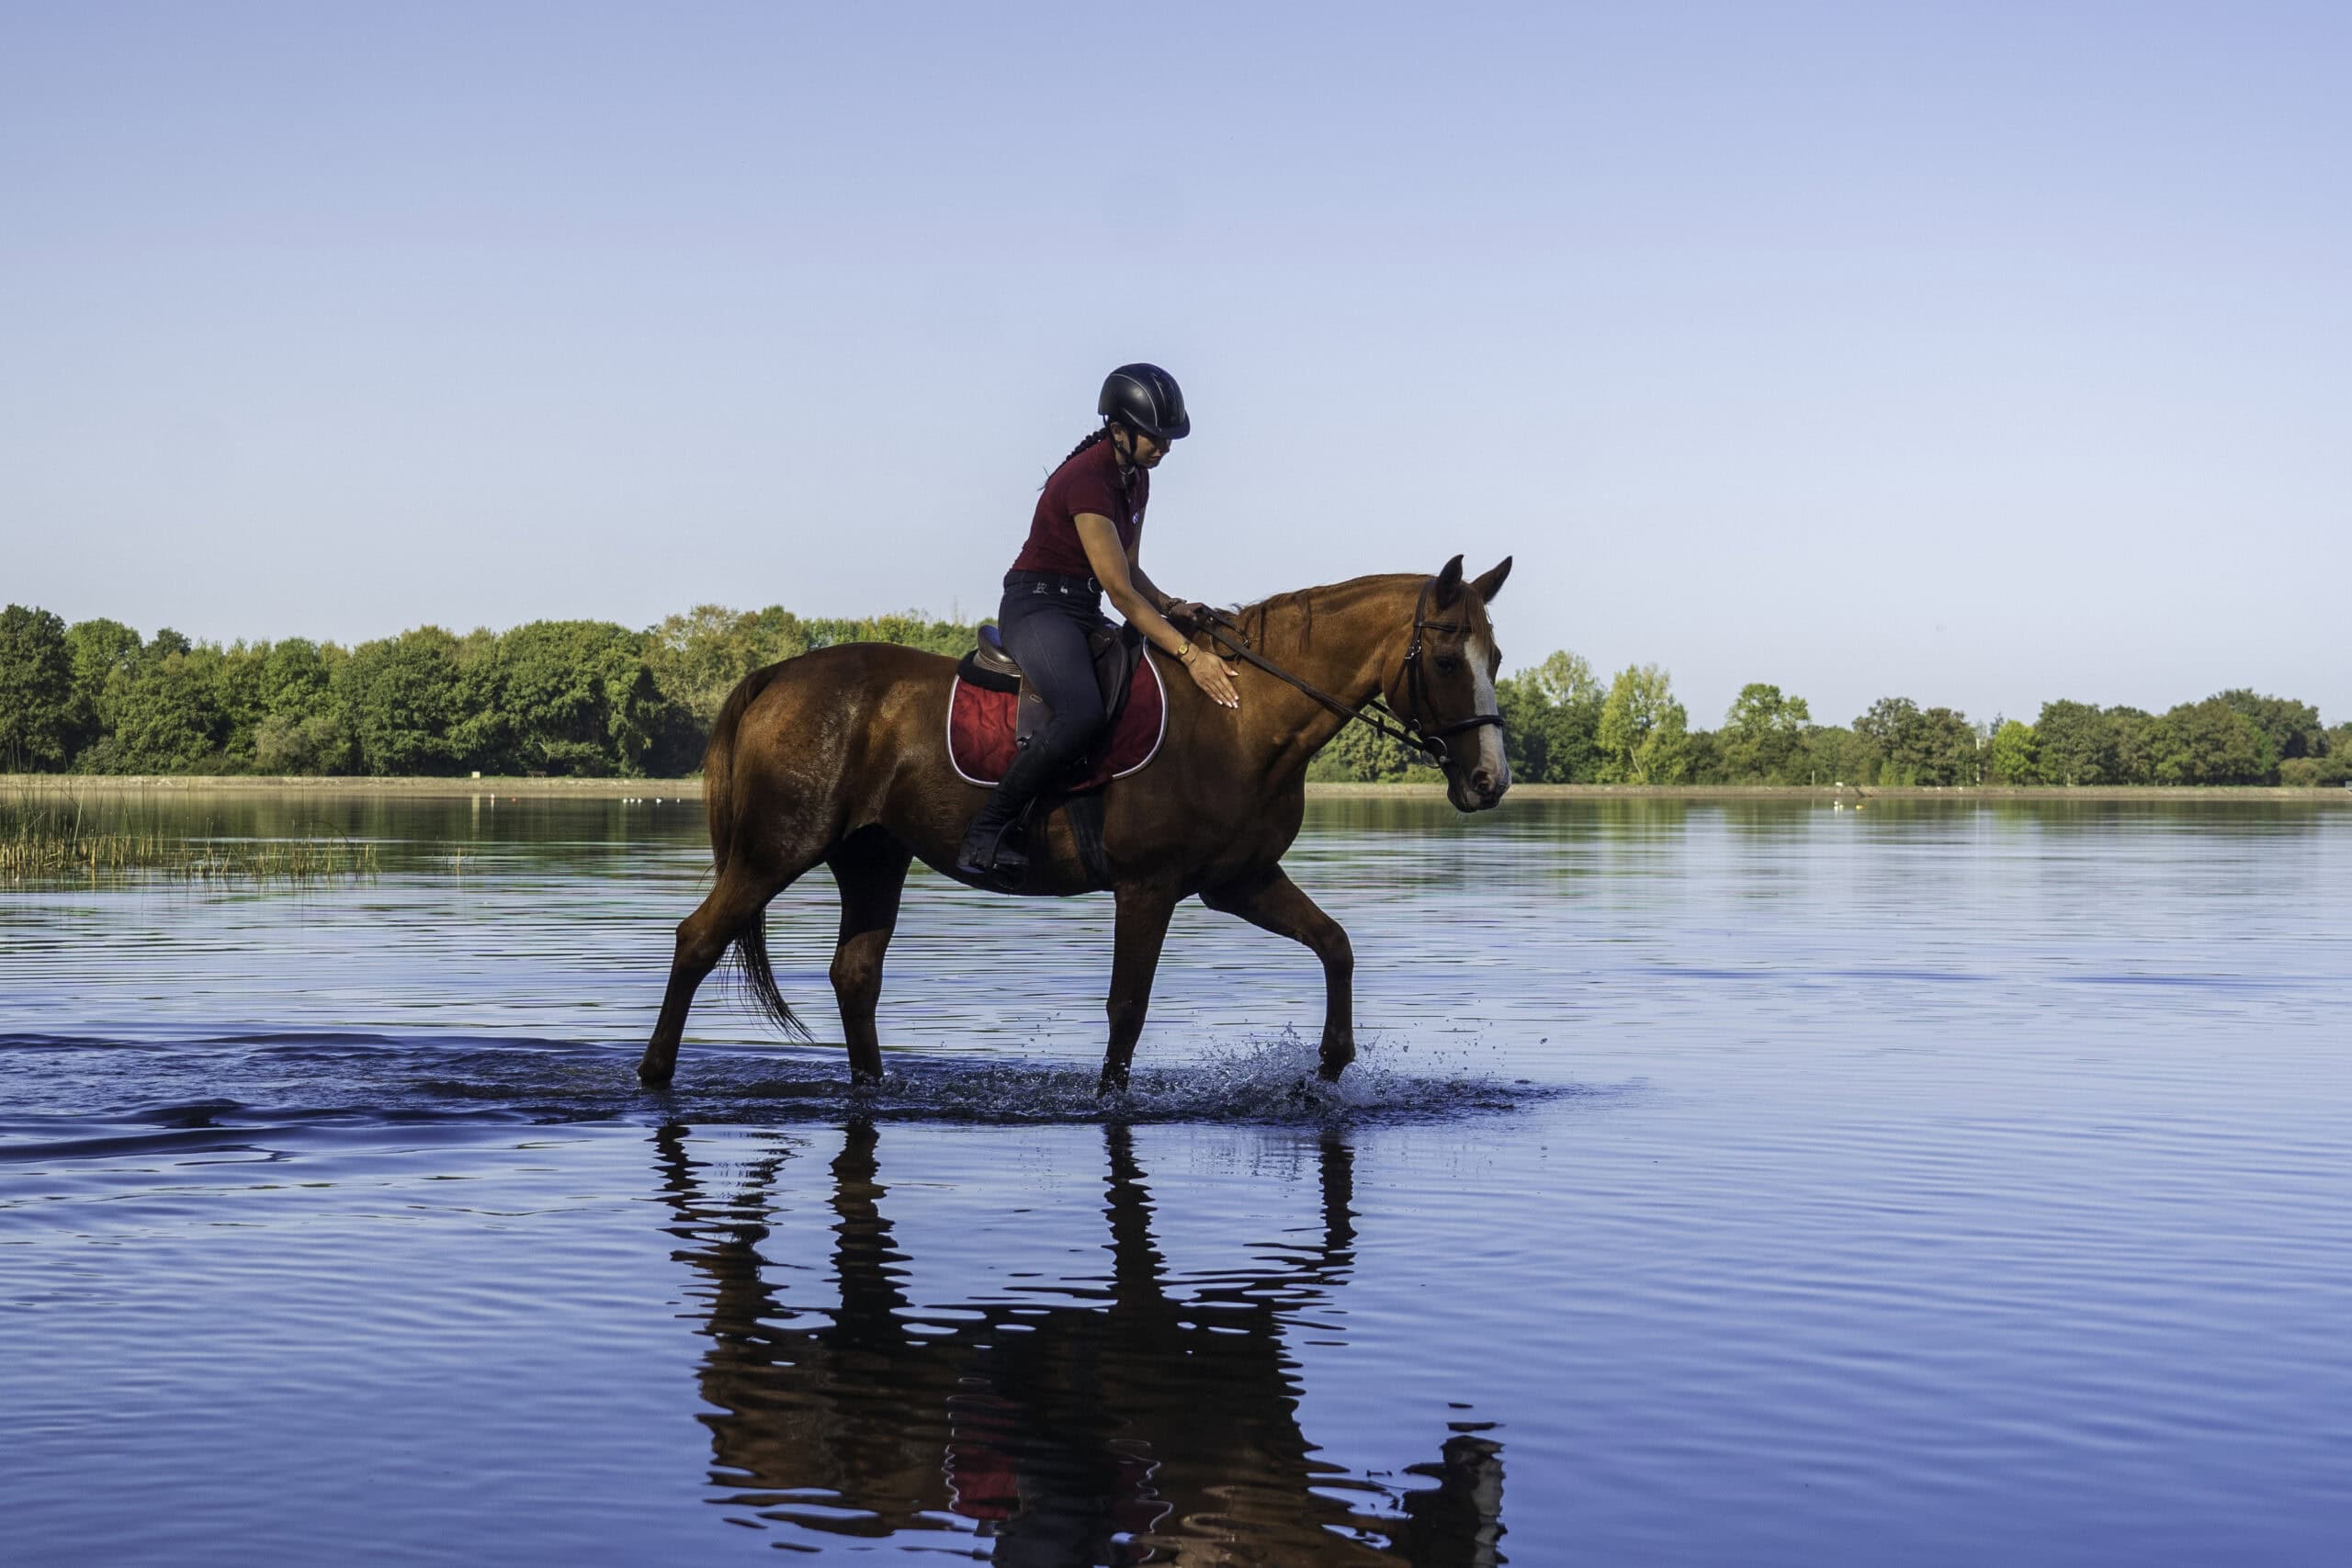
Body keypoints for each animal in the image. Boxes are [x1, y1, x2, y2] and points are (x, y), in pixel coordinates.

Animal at [635, 554, 1514, 1090]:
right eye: (1446, 661)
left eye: (1497, 658)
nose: (1489, 780)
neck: (1240, 715)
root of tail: (780, 672)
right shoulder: (1148, 887)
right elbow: (1128, 1008)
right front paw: (1109, 1099)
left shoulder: (1238, 880)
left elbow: (1335, 943)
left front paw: (1331, 1064)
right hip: (777, 848)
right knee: (698, 939)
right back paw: (653, 1075)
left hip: (873, 855)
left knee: (855, 974)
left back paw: (872, 1086)